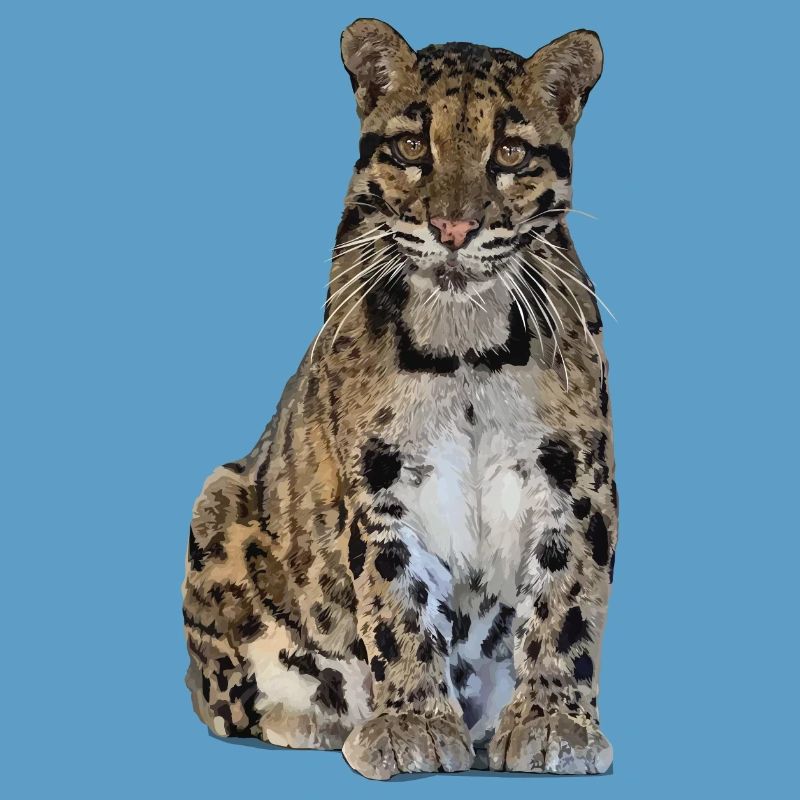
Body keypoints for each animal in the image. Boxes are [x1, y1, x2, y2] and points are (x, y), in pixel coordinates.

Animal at [182, 18, 617, 779]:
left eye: (509, 152)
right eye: (414, 146)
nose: (453, 229)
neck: (467, 344)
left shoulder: (575, 475)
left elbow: (566, 600)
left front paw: (552, 721)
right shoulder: (379, 478)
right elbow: (397, 601)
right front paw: (412, 722)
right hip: (218, 501)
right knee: (226, 700)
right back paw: (321, 718)